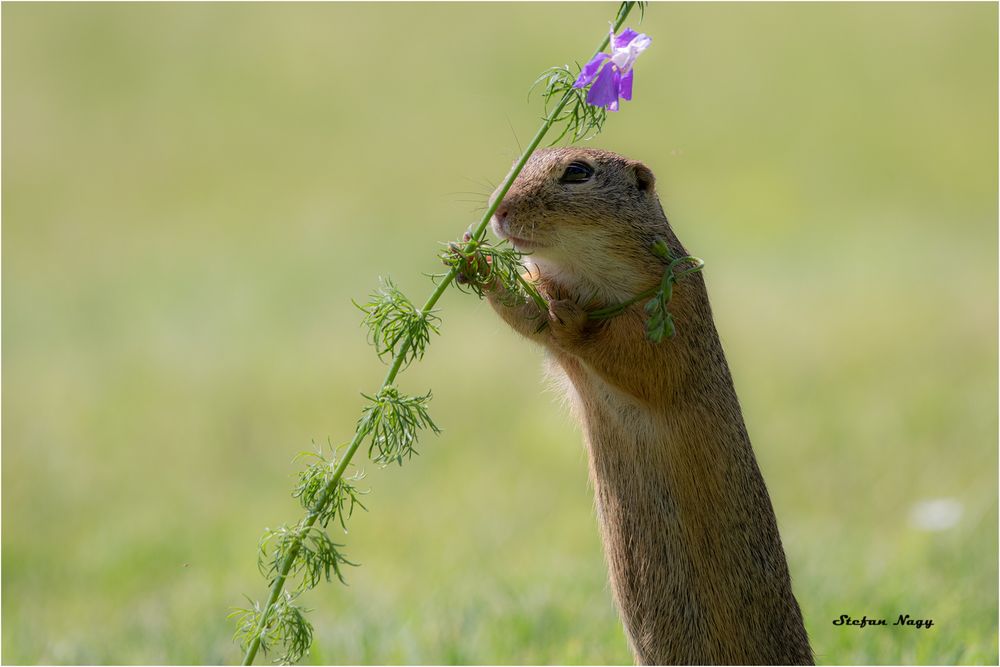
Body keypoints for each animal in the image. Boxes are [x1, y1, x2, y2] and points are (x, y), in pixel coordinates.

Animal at [482, 149, 812, 664]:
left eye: (578, 171)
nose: (498, 210)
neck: (583, 275)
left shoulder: (674, 311)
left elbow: (639, 359)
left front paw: (573, 318)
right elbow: (528, 314)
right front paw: (471, 264)